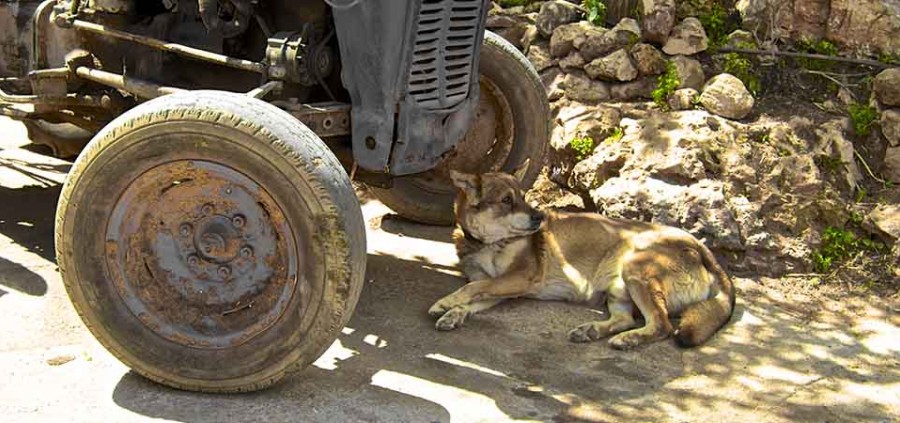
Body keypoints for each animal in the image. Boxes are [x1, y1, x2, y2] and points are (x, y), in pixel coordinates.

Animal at [426, 161, 736, 350]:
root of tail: (703, 251)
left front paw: (446, 302)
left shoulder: (521, 279)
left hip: (635, 268)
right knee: (627, 319)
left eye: (523, 197)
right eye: (506, 200)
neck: (489, 244)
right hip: (618, 289)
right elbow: (476, 293)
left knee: (662, 325)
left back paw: (629, 339)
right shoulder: (506, 289)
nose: (539, 217)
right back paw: (593, 331)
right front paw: (454, 314)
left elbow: (475, 286)